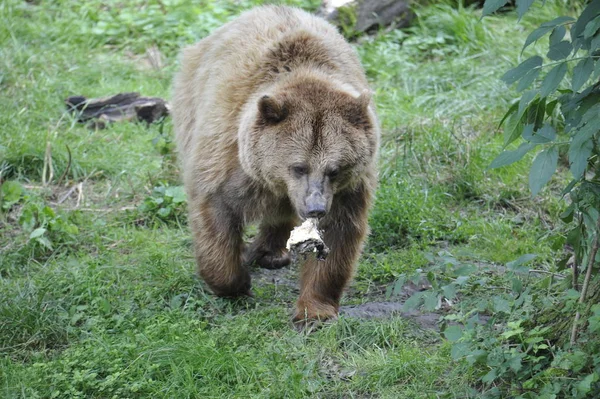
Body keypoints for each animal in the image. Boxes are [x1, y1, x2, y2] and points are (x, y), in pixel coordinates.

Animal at [171, 5, 380, 324]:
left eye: (335, 169)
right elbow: (215, 212)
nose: (315, 207)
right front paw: (235, 283)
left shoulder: (348, 189)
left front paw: (314, 311)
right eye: (298, 166)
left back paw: (272, 251)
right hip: (190, 99)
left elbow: (339, 235)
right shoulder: (227, 154)